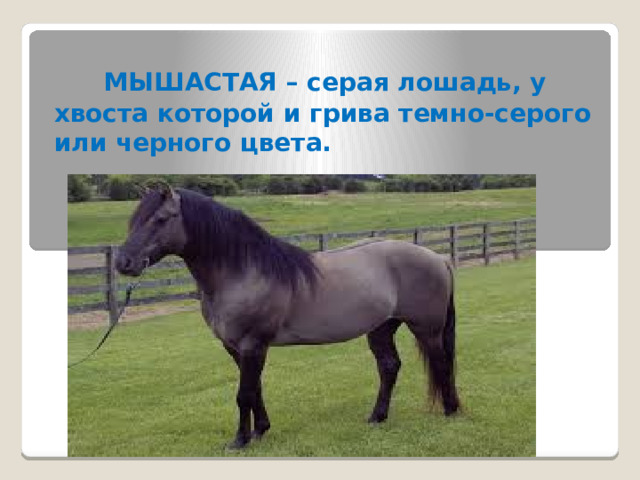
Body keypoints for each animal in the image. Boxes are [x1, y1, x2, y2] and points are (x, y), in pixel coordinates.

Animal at [116, 183, 460, 449]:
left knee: (441, 363)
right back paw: (377, 417)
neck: (244, 271)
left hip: (426, 329)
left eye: (161, 219)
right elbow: (254, 389)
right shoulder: (236, 348)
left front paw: (239, 441)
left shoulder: (253, 344)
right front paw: (259, 430)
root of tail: (438, 258)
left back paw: (450, 411)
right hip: (381, 328)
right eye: (134, 219)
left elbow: (243, 393)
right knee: (389, 367)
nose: (124, 262)